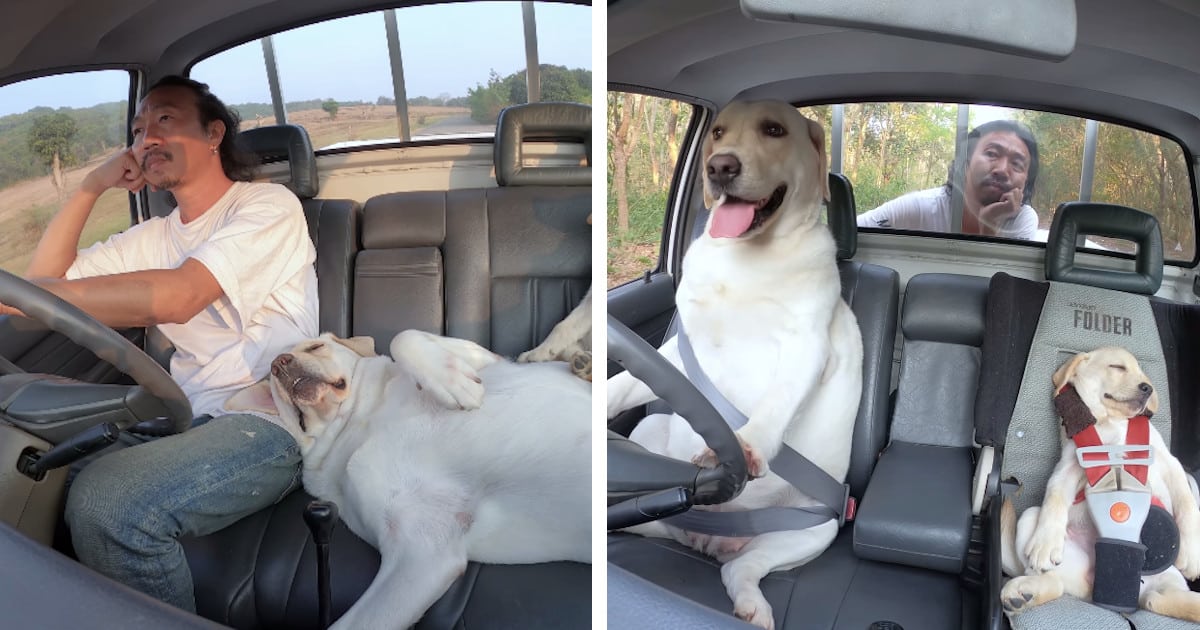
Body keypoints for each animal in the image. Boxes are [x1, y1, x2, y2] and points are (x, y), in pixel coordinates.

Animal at [225, 328, 590, 628]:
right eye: (274, 379)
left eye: (315, 346)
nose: (279, 363)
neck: (360, 420)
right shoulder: (420, 550)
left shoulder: (486, 357)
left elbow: (404, 337)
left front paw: (454, 383)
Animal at [609, 100, 864, 624]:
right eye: (718, 132)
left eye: (775, 130)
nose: (720, 167)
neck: (749, 259)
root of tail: (703, 538)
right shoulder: (675, 355)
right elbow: (623, 383)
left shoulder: (807, 348)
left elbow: (777, 403)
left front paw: (746, 444)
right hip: (648, 451)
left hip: (815, 530)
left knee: (740, 570)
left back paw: (752, 605)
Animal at [998, 348, 1200, 619]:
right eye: (1117, 367)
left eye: (1141, 372)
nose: (1147, 388)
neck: (1111, 423)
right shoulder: (1068, 467)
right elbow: (1055, 498)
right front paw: (1046, 543)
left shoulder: (1170, 463)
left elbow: (1187, 503)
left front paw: (1192, 552)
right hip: (1031, 519)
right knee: (1057, 583)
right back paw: (1024, 592)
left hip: (1169, 578)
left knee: (1158, 600)